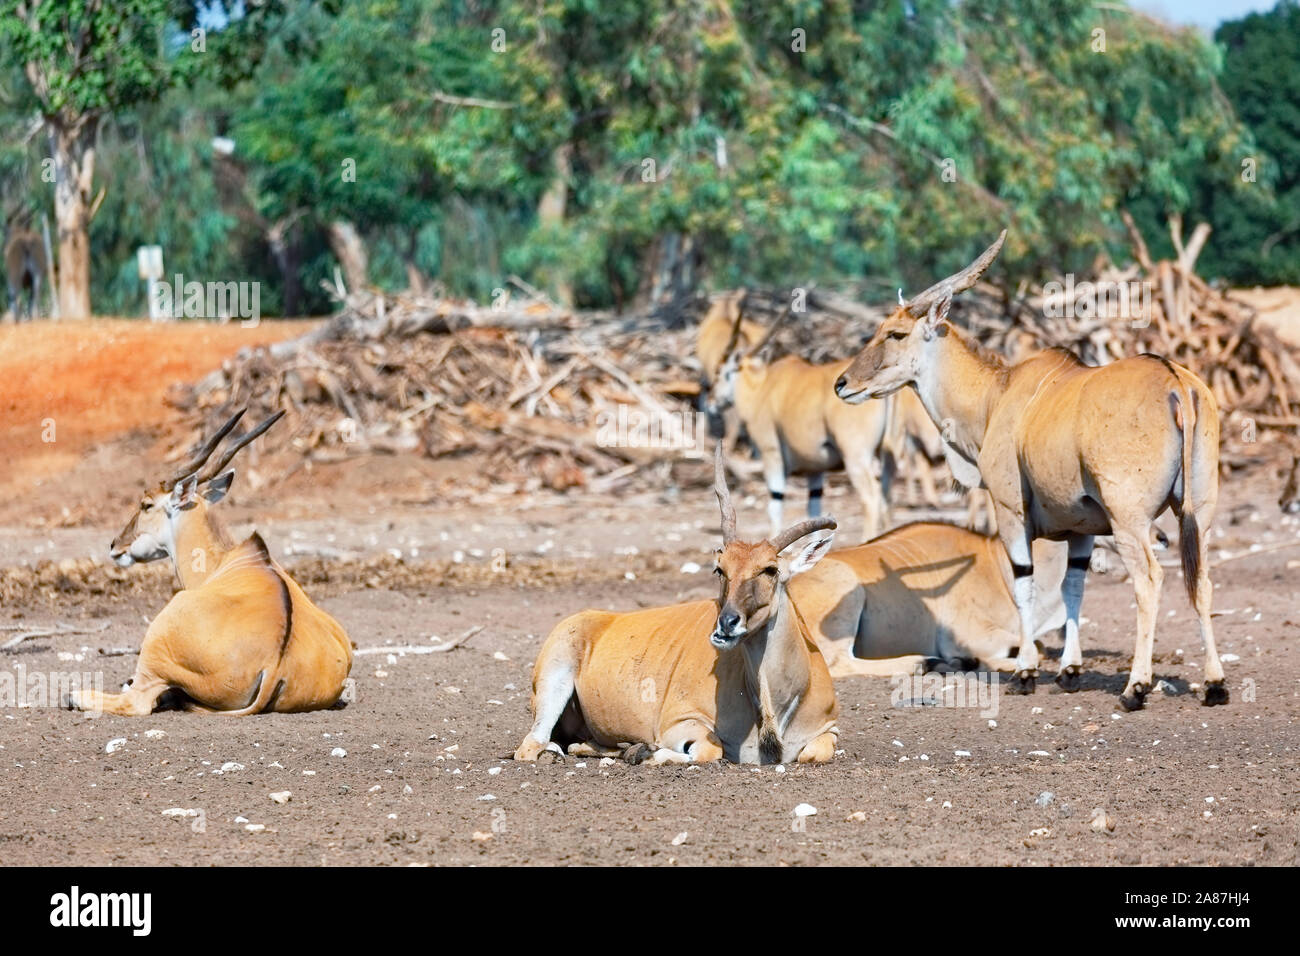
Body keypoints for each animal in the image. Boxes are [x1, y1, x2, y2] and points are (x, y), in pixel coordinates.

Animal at [64, 411, 353, 717]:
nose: (115, 546)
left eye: (146, 504)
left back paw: (77, 695)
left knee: (137, 701)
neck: (227, 560)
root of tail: (275, 667)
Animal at [517, 447, 842, 770]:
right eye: (720, 569)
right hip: (553, 684)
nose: (726, 624)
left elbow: (815, 753)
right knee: (531, 746)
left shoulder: (829, 731)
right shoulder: (681, 724)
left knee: (576, 745)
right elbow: (709, 750)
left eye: (770, 570)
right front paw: (647, 753)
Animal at [790, 522, 1066, 681]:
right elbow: (1036, 650)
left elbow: (1038, 646)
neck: (998, 566)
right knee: (837, 664)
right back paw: (926, 663)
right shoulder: (975, 637)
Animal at [832, 231, 1227, 712]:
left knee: (1150, 580)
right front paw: (1069, 671)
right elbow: (1073, 586)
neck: (995, 396)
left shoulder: (1010, 511)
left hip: (1130, 520)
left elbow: (1026, 583)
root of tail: (1176, 383)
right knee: (1202, 579)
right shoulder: (1083, 528)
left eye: (895, 332)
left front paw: (1026, 672)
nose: (842, 384)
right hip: (1198, 513)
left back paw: (1135, 687)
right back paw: (1215, 684)